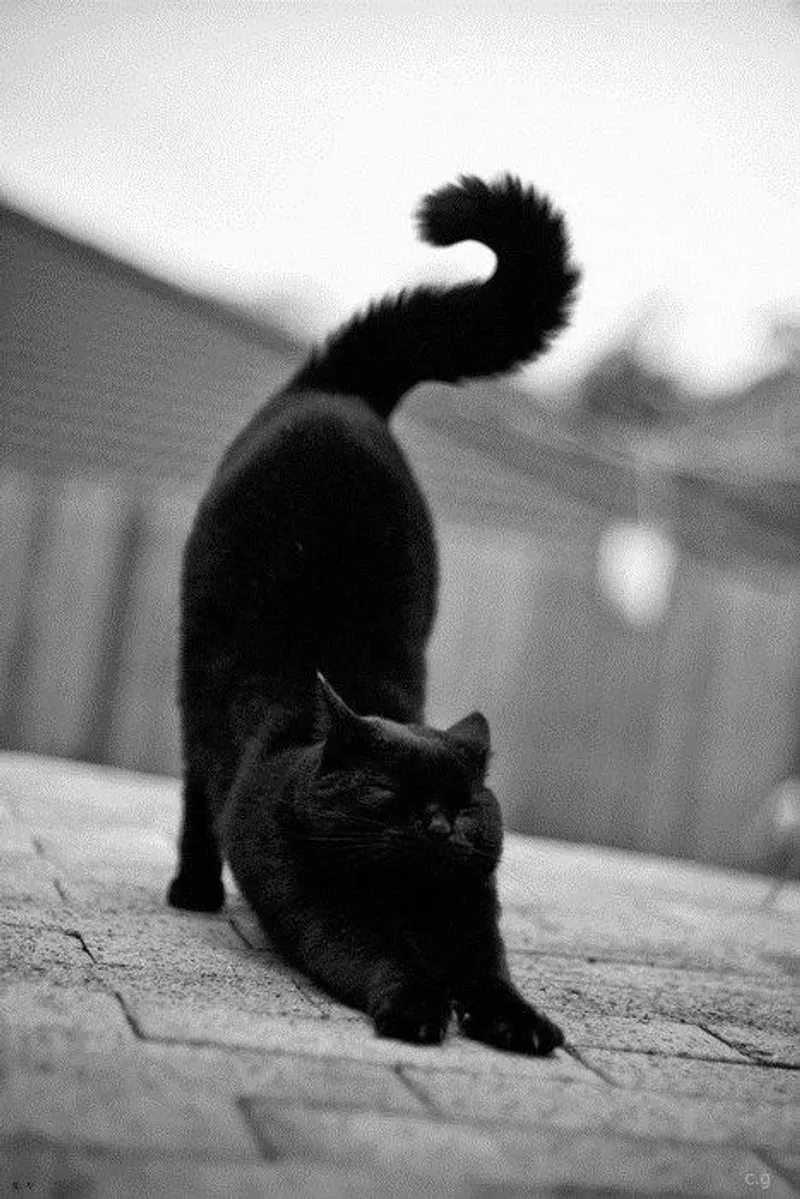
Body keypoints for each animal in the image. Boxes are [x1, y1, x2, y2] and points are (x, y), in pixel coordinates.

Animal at [168, 174, 580, 1054]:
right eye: (391, 793)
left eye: (466, 803)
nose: (441, 826)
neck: (409, 897)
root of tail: (339, 391)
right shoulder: (322, 906)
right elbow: (377, 955)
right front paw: (421, 1008)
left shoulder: (473, 912)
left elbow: (490, 969)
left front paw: (519, 1021)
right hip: (192, 681)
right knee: (193, 786)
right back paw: (192, 890)